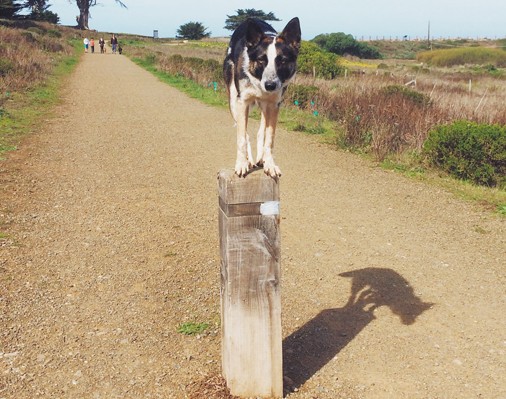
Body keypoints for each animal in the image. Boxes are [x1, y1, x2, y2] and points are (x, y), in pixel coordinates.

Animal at [224, 17, 300, 177]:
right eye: (261, 60)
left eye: (282, 60)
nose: (270, 85)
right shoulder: (242, 103)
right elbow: (242, 138)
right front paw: (242, 163)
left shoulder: (274, 105)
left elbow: (269, 138)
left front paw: (269, 163)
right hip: (233, 102)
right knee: (245, 133)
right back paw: (249, 161)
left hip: (266, 107)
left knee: (261, 132)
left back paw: (260, 159)